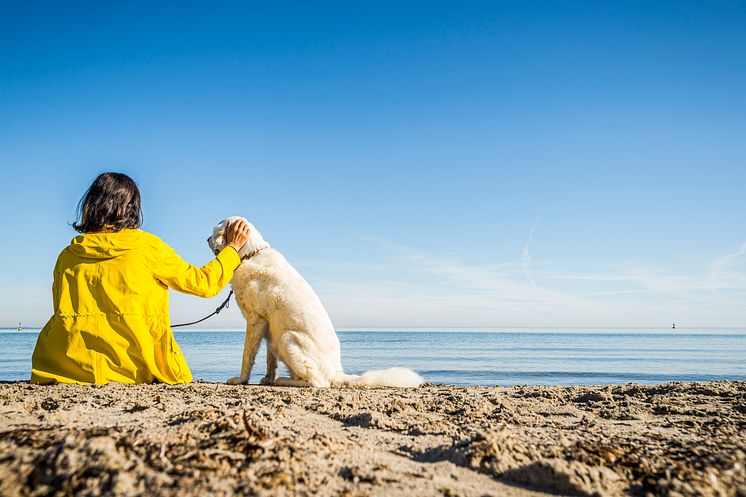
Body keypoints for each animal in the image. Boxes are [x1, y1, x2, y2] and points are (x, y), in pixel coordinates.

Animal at [206, 216, 422, 388]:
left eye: (214, 231)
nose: (206, 238)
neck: (251, 254)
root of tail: (336, 372)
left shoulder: (256, 319)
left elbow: (247, 356)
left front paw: (241, 379)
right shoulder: (269, 326)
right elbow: (270, 360)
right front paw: (267, 378)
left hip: (287, 338)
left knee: (319, 382)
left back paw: (285, 381)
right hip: (281, 338)